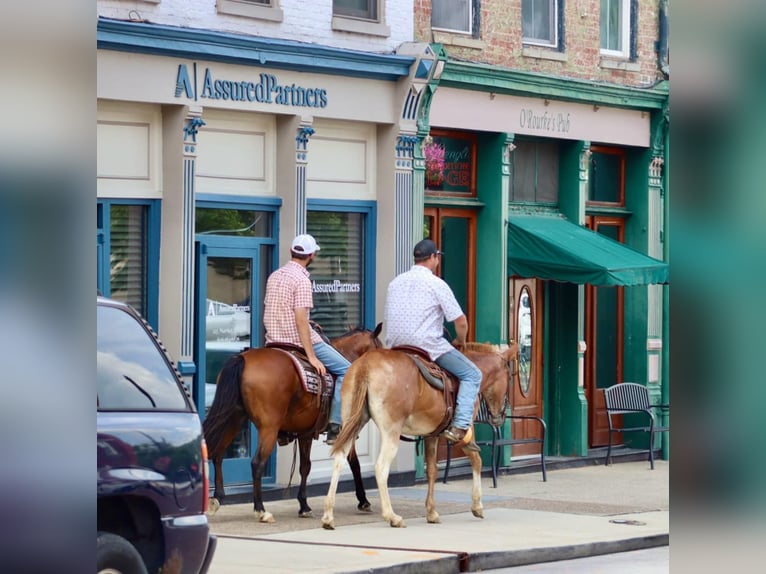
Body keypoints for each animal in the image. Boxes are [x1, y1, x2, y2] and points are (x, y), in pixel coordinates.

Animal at [204, 326, 384, 524]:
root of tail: (242, 358)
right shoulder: (344, 430)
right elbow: (353, 463)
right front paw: (363, 500)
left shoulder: (305, 433)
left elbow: (305, 466)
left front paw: (304, 505)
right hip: (268, 428)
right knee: (256, 463)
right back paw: (261, 510)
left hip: (234, 418)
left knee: (218, 453)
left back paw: (217, 498)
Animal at [320, 342, 520, 532]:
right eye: (509, 377)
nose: (500, 416)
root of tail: (366, 365)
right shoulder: (465, 430)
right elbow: (476, 460)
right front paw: (477, 505)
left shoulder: (431, 435)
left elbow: (432, 470)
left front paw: (431, 511)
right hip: (390, 432)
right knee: (381, 468)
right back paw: (392, 516)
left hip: (352, 423)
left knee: (339, 460)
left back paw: (328, 516)